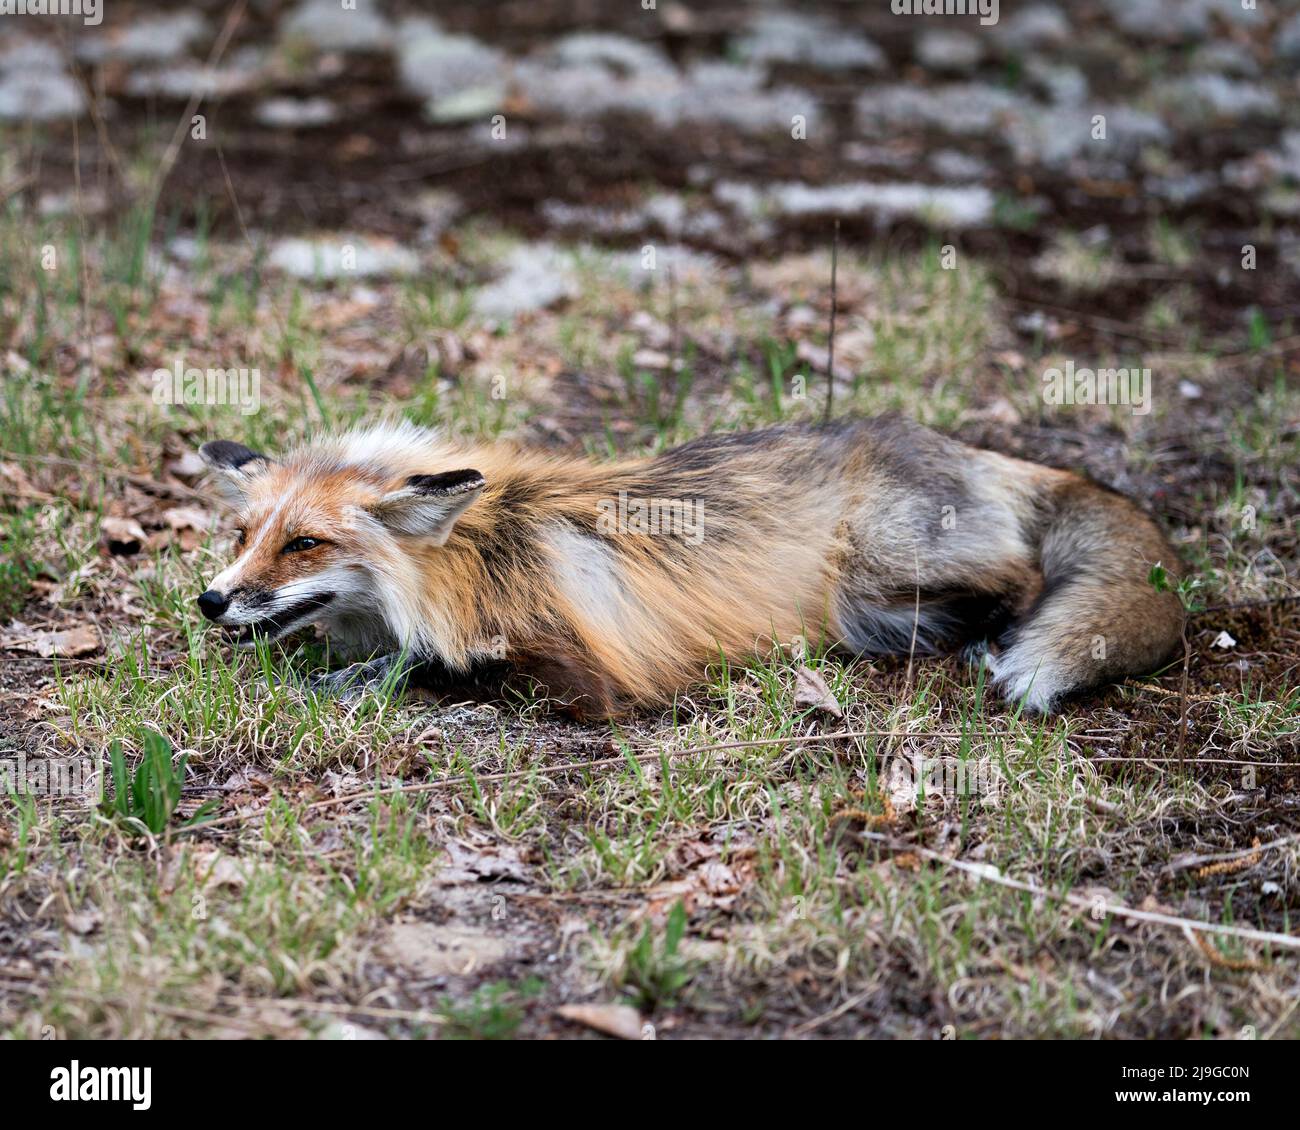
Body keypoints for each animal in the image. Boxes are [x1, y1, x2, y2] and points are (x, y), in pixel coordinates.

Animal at [197, 413, 1185, 712]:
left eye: (306, 543)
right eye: (244, 536)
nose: (210, 602)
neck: (484, 550)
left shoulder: (583, 672)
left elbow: (434, 664)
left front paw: (356, 678)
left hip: (873, 570)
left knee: (1025, 582)